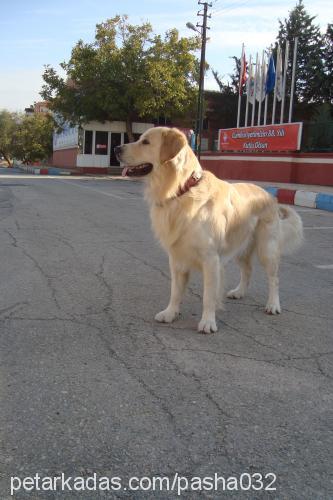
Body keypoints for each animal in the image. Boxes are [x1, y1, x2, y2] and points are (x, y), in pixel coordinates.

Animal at [115, 127, 302, 334]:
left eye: (145, 142)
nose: (116, 149)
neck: (182, 191)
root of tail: (270, 195)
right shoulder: (177, 257)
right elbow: (175, 291)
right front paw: (170, 313)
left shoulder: (211, 259)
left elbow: (208, 296)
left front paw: (208, 322)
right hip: (241, 246)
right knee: (247, 270)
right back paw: (239, 292)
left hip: (266, 248)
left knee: (274, 278)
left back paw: (273, 305)